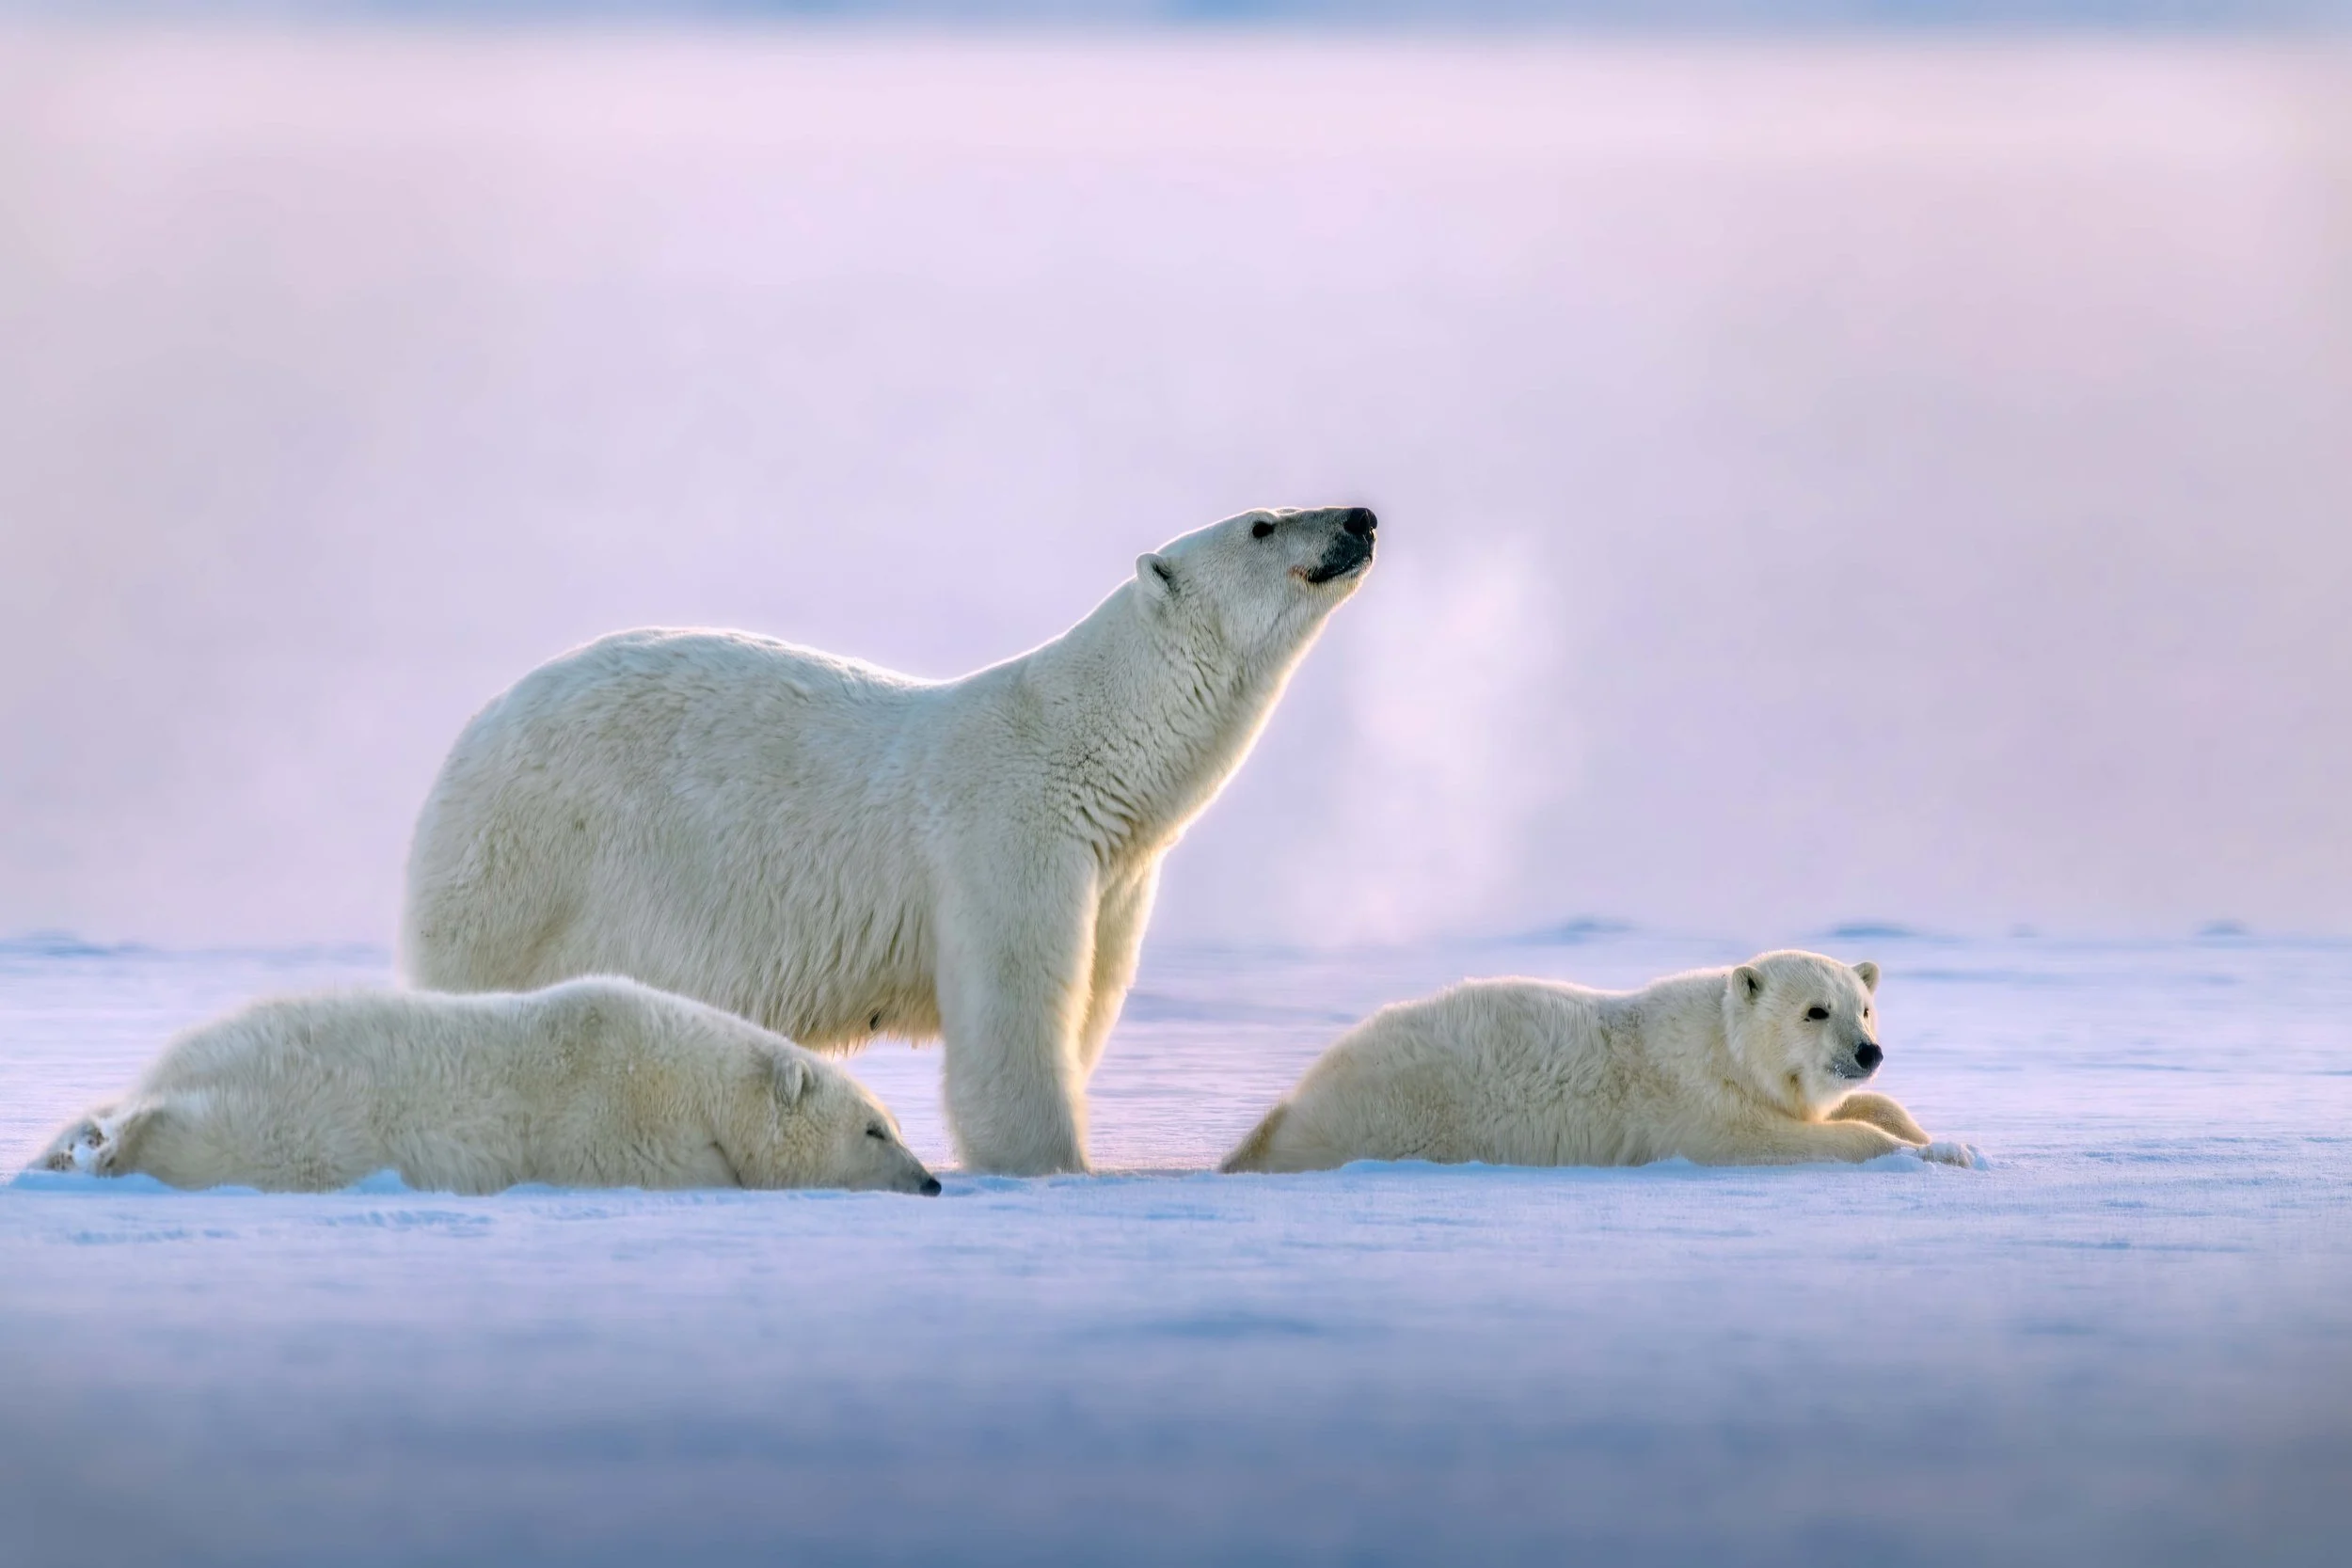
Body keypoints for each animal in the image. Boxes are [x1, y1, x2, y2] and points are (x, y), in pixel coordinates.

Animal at [402, 505, 1377, 1176]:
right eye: (1262, 522)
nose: (1360, 516)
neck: (1088, 747)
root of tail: (469, 736)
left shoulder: (1113, 876)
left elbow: (1087, 1004)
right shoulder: (1006, 836)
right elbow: (1015, 1012)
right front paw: (1051, 1162)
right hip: (534, 864)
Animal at [1220, 950, 1977, 1174]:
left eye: (1864, 1007)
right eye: (1815, 1010)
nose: (1869, 1051)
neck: (1723, 1045)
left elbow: (1858, 1105)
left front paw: (1942, 1135)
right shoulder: (1696, 1105)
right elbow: (1774, 1141)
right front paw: (1937, 1152)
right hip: (1396, 1112)